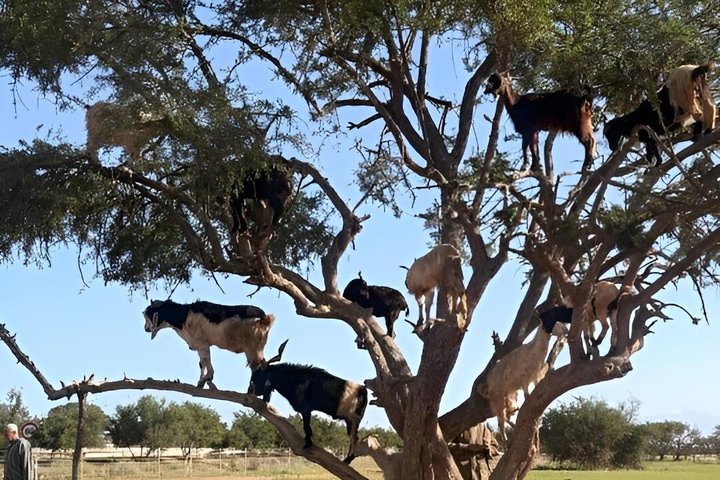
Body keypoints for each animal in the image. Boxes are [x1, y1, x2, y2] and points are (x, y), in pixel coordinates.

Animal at [143, 299, 275, 388]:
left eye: (148, 314)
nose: (146, 329)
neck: (184, 317)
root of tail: (265, 318)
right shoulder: (202, 346)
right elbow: (202, 362)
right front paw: (203, 381)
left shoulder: (202, 344)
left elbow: (205, 360)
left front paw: (206, 378)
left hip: (252, 349)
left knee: (257, 365)